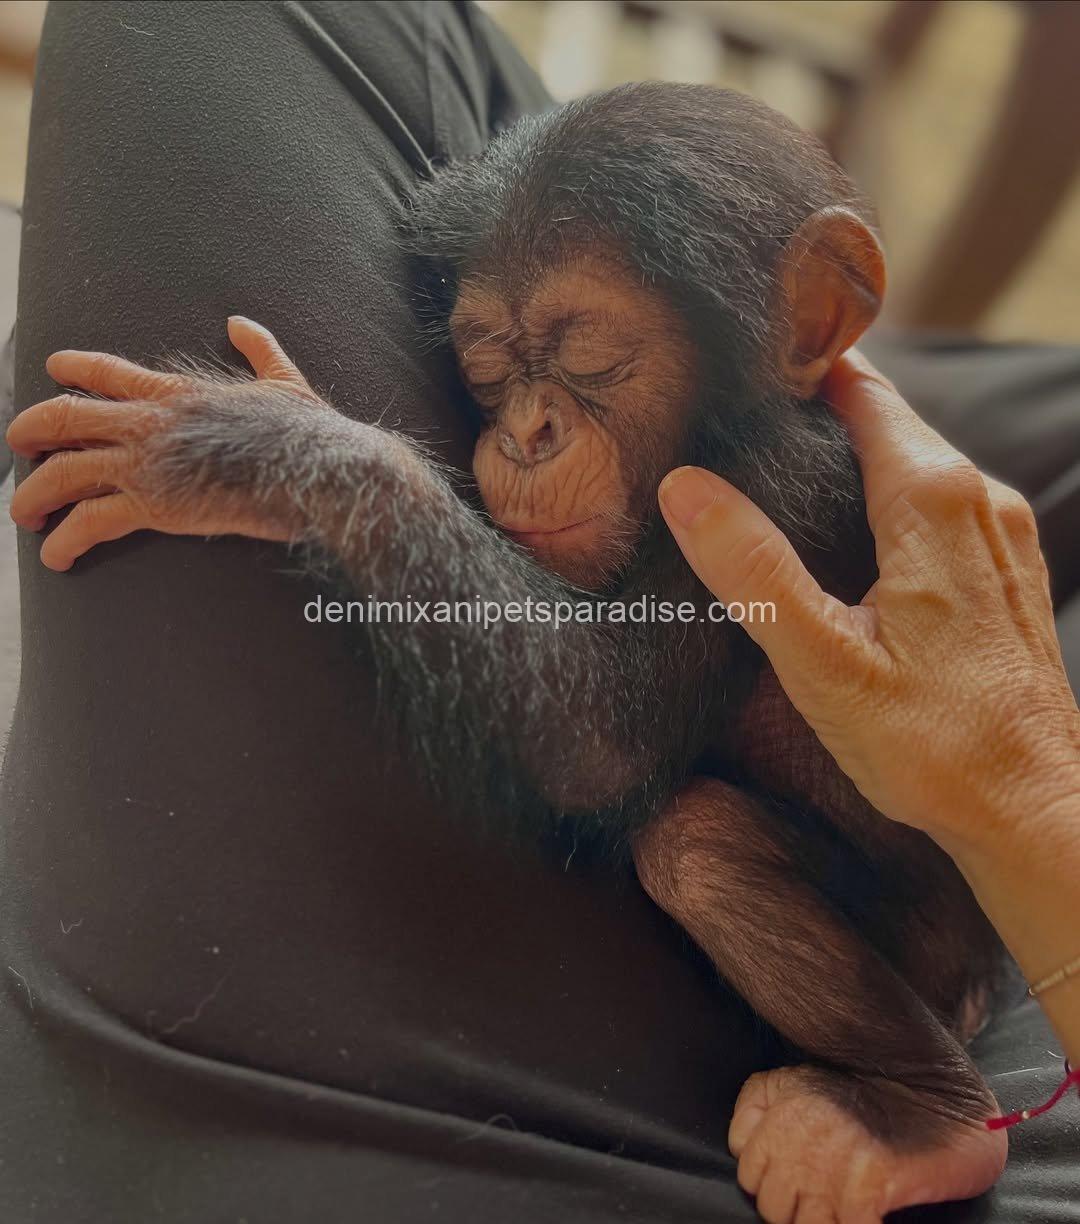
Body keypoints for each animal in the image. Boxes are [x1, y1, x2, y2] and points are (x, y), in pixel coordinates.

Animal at [7, 83, 1010, 1222]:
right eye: (488, 365)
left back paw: (927, 1120)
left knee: (696, 842)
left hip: (929, 955)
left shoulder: (779, 490)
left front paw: (256, 445)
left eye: (592, 358)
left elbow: (600, 735)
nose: (529, 432)